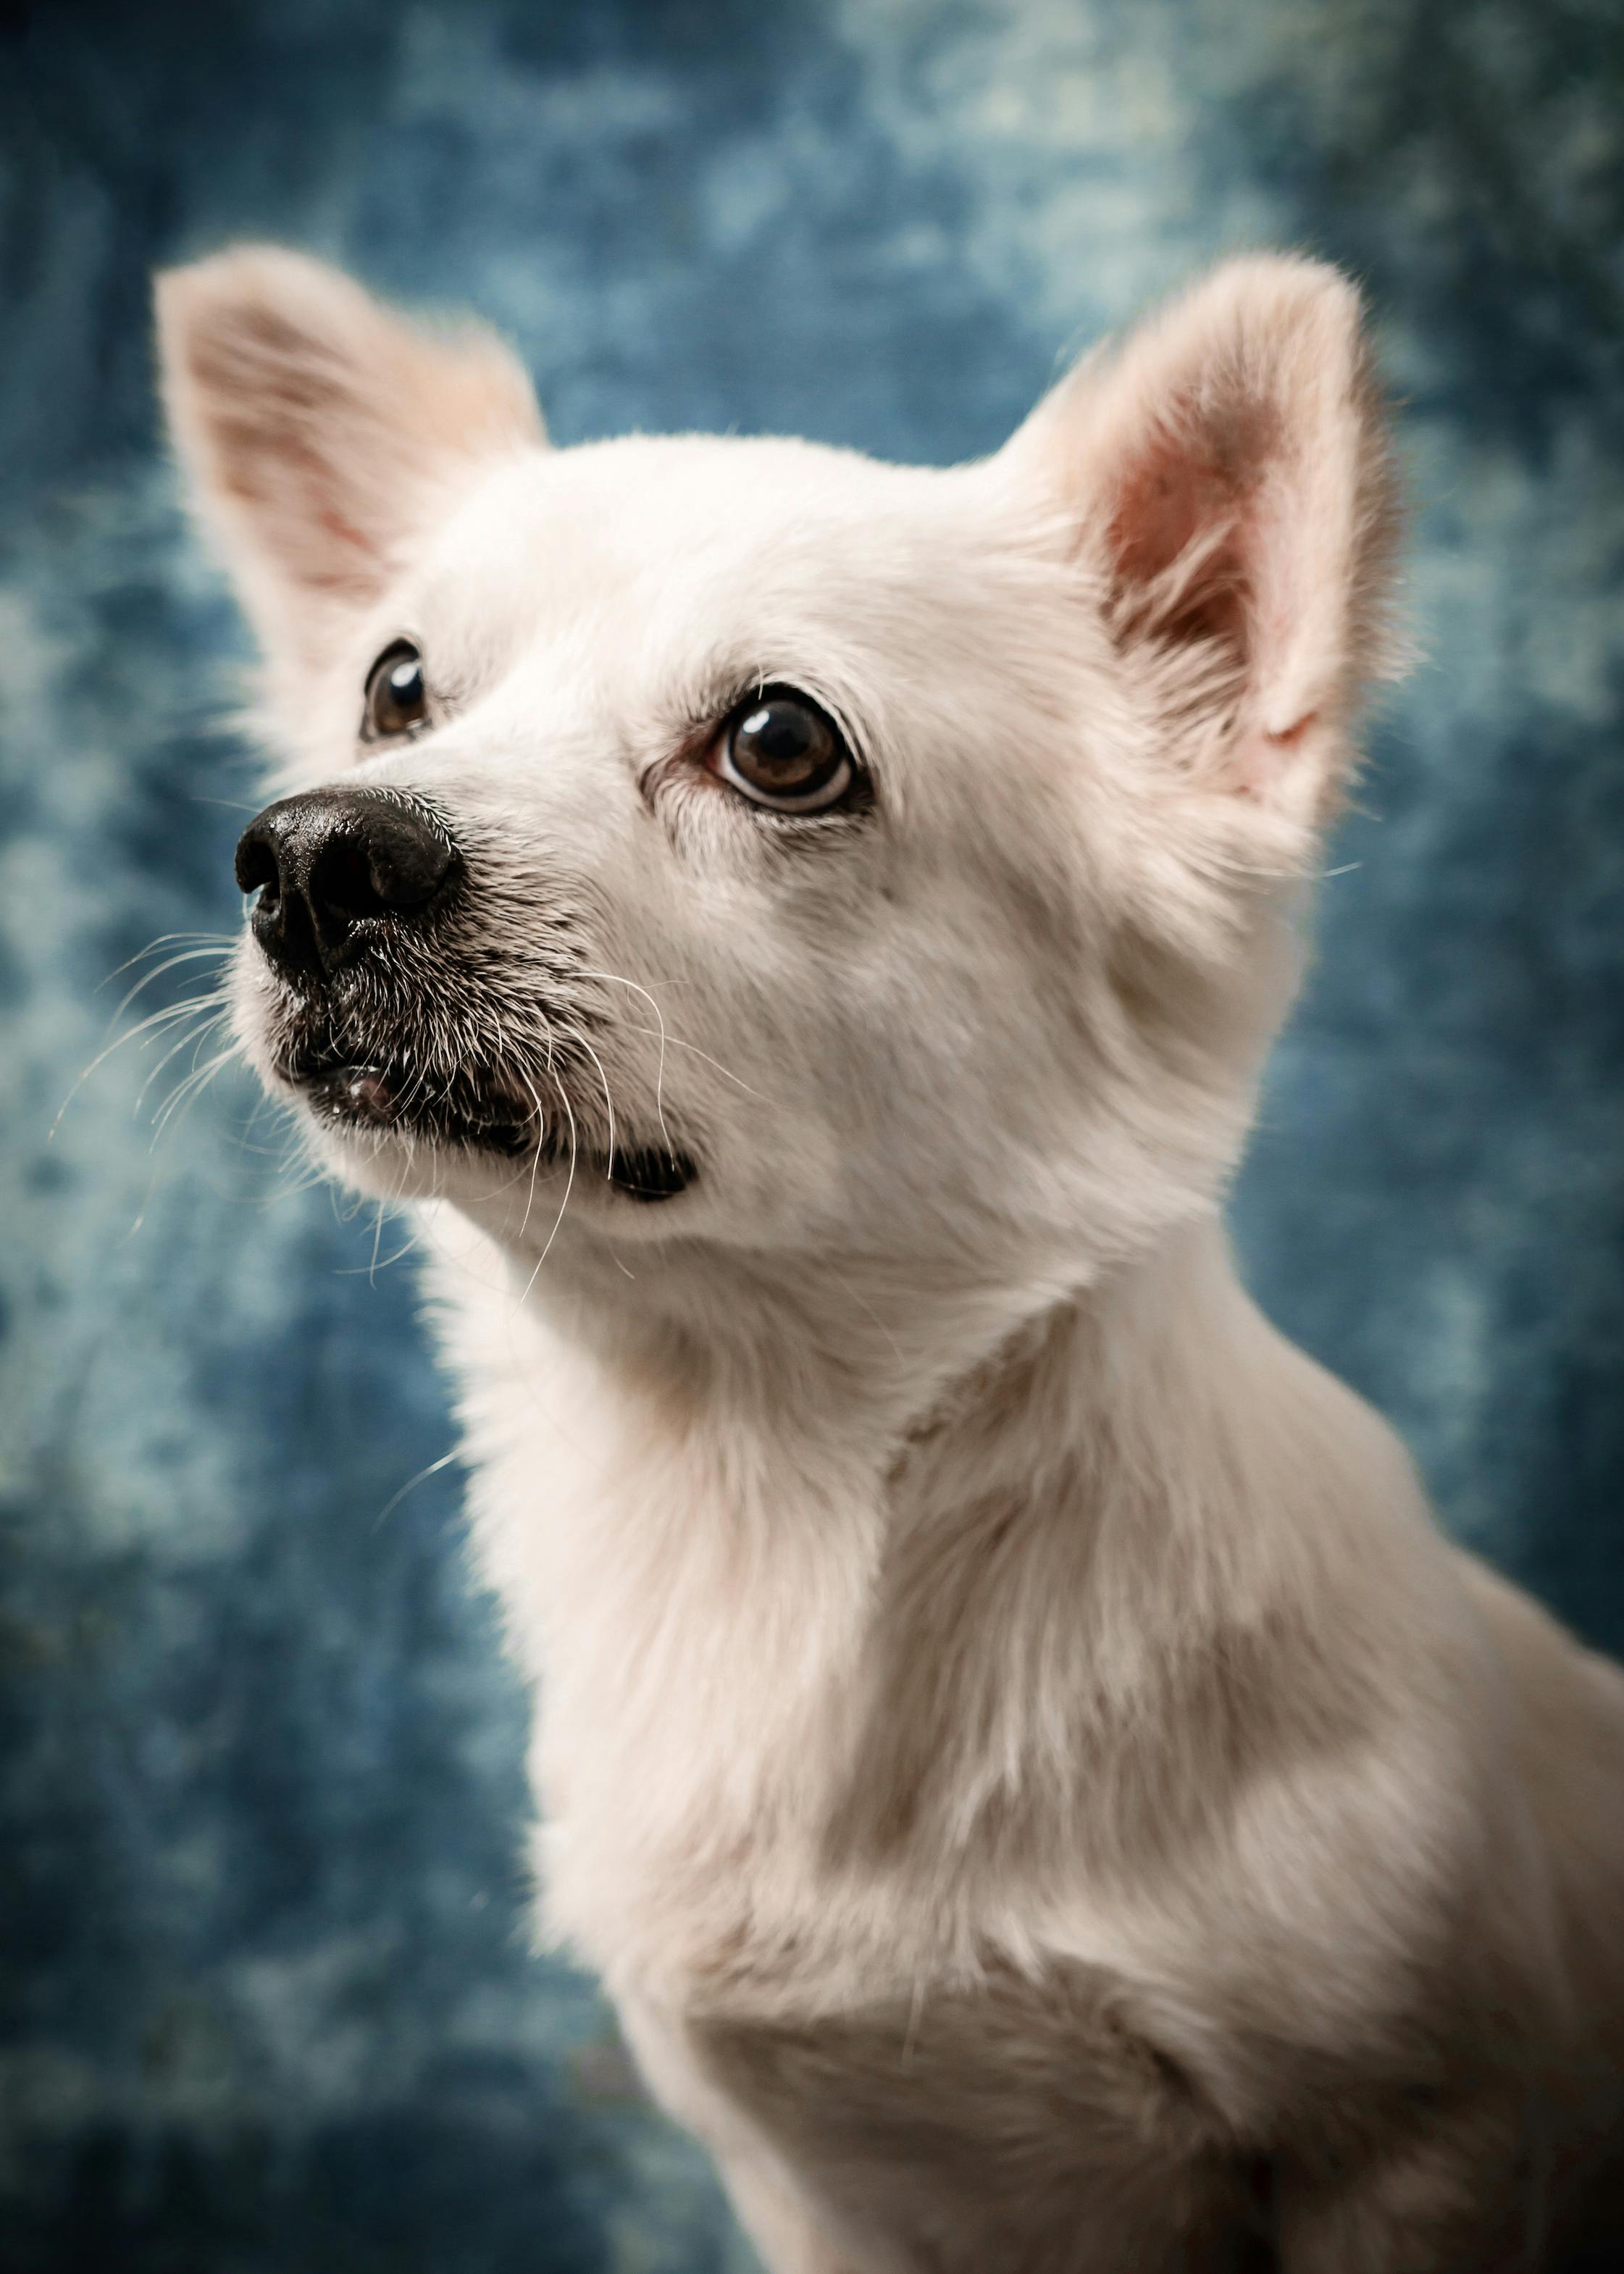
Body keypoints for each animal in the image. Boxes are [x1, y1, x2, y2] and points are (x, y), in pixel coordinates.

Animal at [154, 240, 1619, 2265]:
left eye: (781, 745)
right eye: (394, 688)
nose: (308, 856)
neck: (752, 1488)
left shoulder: (1421, 2145)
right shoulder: (808, 2181)